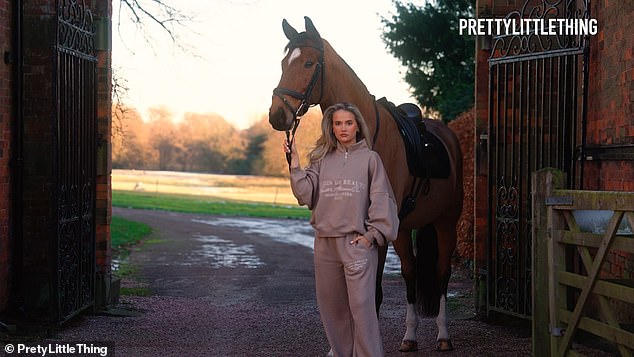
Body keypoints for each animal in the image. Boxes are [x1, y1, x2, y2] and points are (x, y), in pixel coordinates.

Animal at [266, 17, 460, 350]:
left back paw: (444, 336)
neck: (365, 134)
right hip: (404, 228)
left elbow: (373, 295)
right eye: (283, 62)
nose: (277, 115)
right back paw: (409, 337)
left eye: (308, 63)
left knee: (441, 273)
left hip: (447, 221)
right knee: (410, 273)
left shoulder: (374, 230)